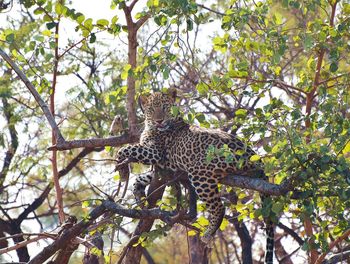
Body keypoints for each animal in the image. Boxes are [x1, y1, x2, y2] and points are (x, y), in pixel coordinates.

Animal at [116, 89, 274, 264]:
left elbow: (126, 148)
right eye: (151, 109)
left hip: (200, 173)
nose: (159, 121)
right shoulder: (166, 168)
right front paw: (138, 193)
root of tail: (254, 156)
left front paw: (122, 169)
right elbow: (141, 177)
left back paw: (208, 233)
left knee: (219, 207)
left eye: (164, 107)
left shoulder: (155, 153)